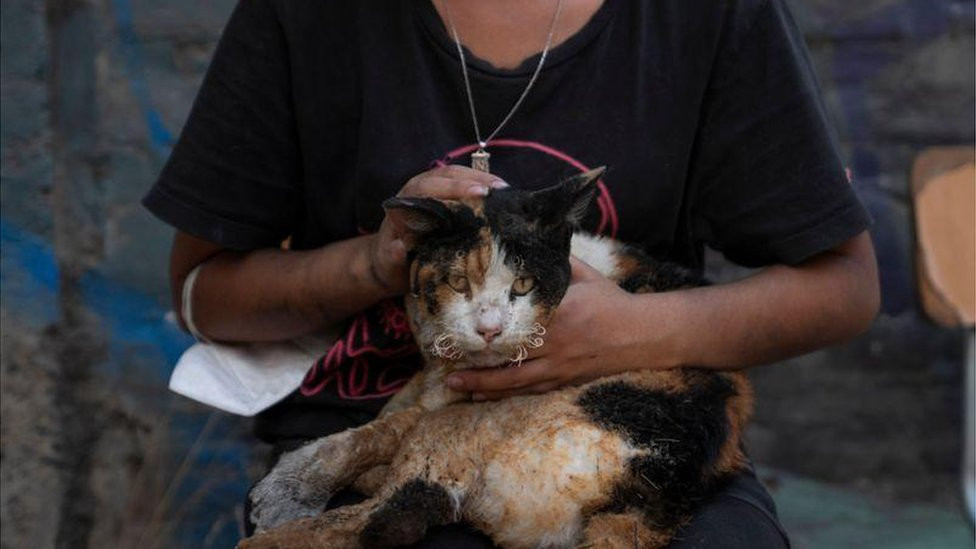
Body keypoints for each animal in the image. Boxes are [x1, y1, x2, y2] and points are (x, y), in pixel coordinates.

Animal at [240, 168, 752, 548]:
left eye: (523, 285)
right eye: (457, 282)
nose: (490, 329)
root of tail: (650, 491)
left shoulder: (456, 399)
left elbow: (374, 431)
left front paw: (286, 489)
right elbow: (387, 412)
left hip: (473, 433)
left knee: (385, 517)